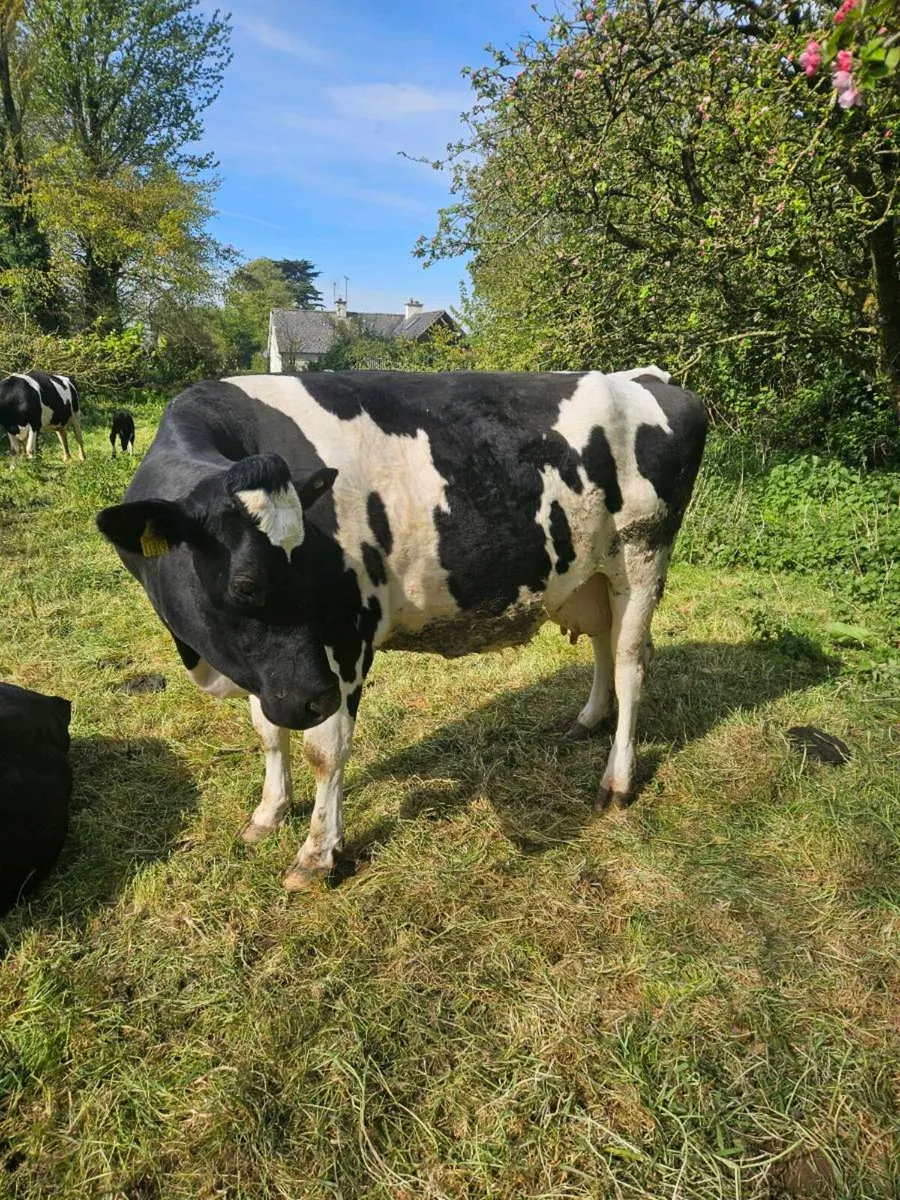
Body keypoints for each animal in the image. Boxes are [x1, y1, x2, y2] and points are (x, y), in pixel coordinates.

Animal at [96, 368, 708, 890]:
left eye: (312, 572)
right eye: (246, 585)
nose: (314, 699)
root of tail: (646, 377)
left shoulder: (345, 637)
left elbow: (325, 750)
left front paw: (318, 854)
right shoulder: (269, 669)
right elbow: (268, 731)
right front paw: (268, 813)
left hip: (642, 554)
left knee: (630, 662)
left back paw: (617, 781)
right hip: (592, 572)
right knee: (605, 644)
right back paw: (588, 719)